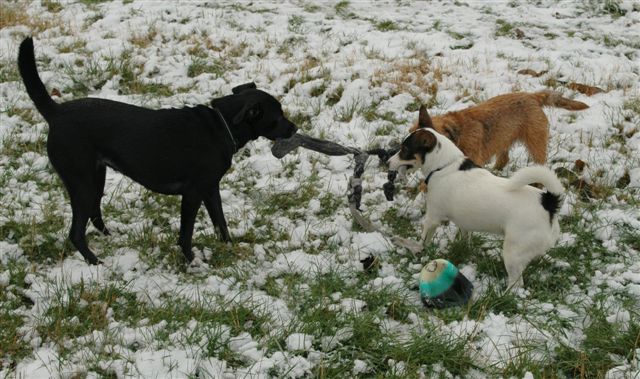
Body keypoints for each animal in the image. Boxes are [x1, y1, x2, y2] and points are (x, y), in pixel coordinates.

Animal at [17, 37, 298, 264]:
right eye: (278, 116)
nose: (295, 127)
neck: (222, 125)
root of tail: (56, 113)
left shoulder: (210, 189)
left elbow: (221, 222)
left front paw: (230, 248)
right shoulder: (193, 193)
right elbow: (186, 233)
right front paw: (191, 261)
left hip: (96, 177)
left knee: (94, 215)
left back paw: (110, 239)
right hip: (81, 182)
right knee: (75, 233)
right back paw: (95, 263)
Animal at [388, 106, 564, 288]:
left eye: (404, 150)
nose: (387, 162)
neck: (444, 165)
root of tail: (549, 202)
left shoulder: (433, 218)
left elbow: (422, 241)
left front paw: (413, 248)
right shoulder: (464, 224)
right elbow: (465, 236)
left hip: (513, 253)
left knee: (517, 283)